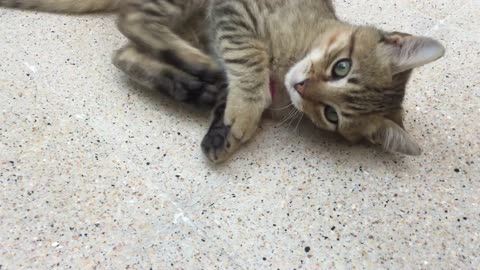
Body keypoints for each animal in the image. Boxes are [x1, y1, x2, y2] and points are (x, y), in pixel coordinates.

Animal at [0, 0, 444, 162]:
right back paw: (200, 69)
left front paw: (224, 130)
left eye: (331, 115)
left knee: (124, 51)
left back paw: (192, 85)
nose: (301, 88)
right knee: (131, 20)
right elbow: (249, 61)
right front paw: (244, 110)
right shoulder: (237, 12)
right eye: (341, 67)